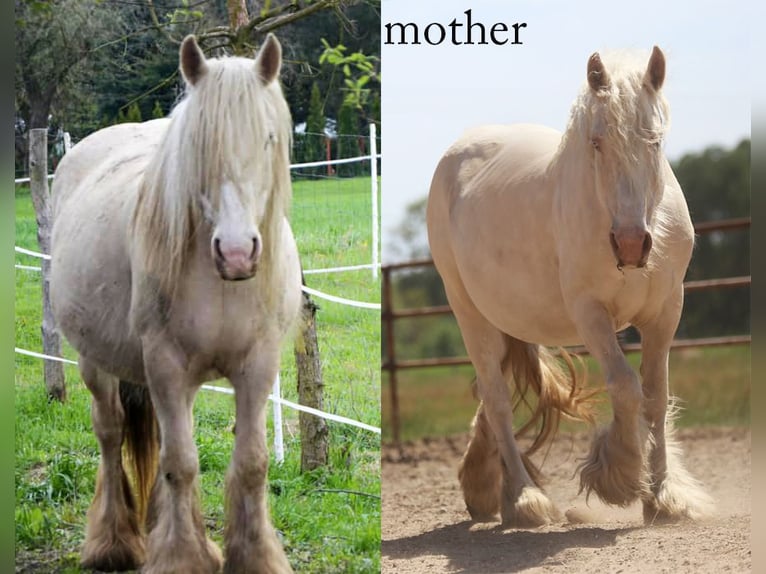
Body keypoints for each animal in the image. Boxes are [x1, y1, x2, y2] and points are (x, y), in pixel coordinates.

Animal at [51, 33, 302, 572]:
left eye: (268, 139)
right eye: (199, 147)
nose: (236, 252)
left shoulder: (258, 363)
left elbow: (251, 463)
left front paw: (254, 556)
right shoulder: (165, 362)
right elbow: (181, 463)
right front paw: (181, 558)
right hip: (96, 362)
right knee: (112, 432)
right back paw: (114, 542)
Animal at [428, 47, 716, 528]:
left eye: (655, 140)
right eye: (597, 142)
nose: (631, 243)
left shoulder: (665, 313)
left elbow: (656, 395)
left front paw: (663, 497)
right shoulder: (591, 314)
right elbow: (625, 386)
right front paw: (618, 476)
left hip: (507, 321)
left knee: (489, 399)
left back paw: (485, 489)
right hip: (470, 314)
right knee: (498, 400)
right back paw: (524, 499)